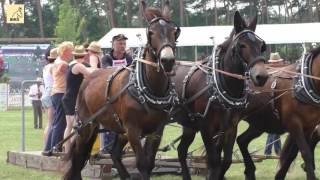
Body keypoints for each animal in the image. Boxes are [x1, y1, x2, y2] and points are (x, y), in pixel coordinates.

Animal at [63, 0, 181, 179]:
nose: (167, 61)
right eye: (151, 33)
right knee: (78, 155)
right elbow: (142, 164)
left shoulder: (157, 130)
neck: (149, 88)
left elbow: (150, 163)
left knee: (114, 153)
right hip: (87, 125)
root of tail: (89, 76)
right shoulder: (132, 129)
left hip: (118, 129)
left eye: (174, 32)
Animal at [171, 11, 268, 180]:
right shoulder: (206, 127)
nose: (261, 76)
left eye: (261, 46)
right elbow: (214, 161)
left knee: (181, 151)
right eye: (242, 45)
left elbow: (225, 161)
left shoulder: (230, 127)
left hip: (189, 126)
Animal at [236, 46, 320, 180]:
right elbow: (305, 152)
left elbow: (294, 154)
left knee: (241, 140)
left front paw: (280, 175)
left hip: (259, 124)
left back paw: (250, 171)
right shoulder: (294, 124)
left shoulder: (309, 126)